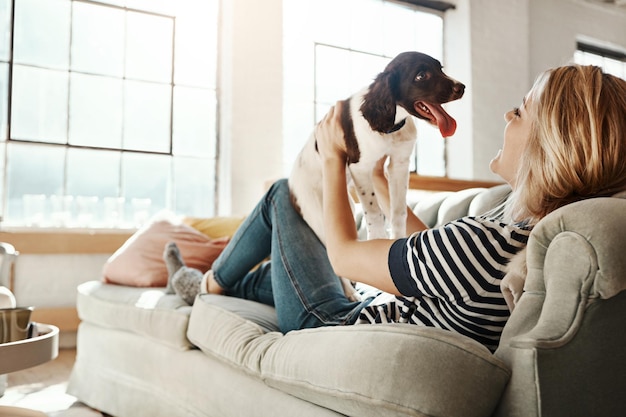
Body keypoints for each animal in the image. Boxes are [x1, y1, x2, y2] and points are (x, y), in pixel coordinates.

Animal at [290, 52, 460, 296]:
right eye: (421, 75)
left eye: (441, 69)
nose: (462, 87)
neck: (391, 124)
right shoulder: (360, 167)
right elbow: (374, 212)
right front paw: (378, 239)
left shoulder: (399, 164)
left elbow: (398, 212)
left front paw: (397, 240)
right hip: (318, 216)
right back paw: (350, 293)